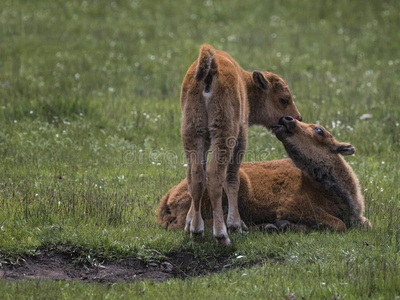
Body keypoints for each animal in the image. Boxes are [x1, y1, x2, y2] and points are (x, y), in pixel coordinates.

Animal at [157, 118, 372, 233]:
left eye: (319, 130)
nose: (287, 119)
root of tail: (169, 195)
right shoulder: (293, 207)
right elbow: (338, 224)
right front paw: (285, 225)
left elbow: (364, 223)